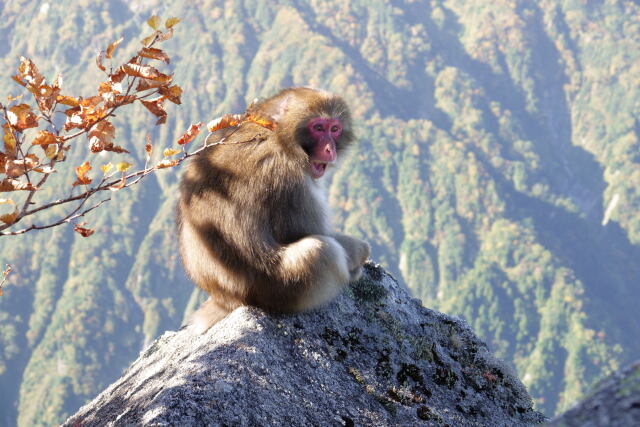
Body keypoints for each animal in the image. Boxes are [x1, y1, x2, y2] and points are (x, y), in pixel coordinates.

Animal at [179, 88, 370, 334]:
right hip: (282, 288)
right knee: (321, 250)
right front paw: (361, 251)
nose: (330, 149)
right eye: (318, 128)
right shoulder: (290, 179)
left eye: (334, 129)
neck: (276, 132)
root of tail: (227, 298)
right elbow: (310, 232)